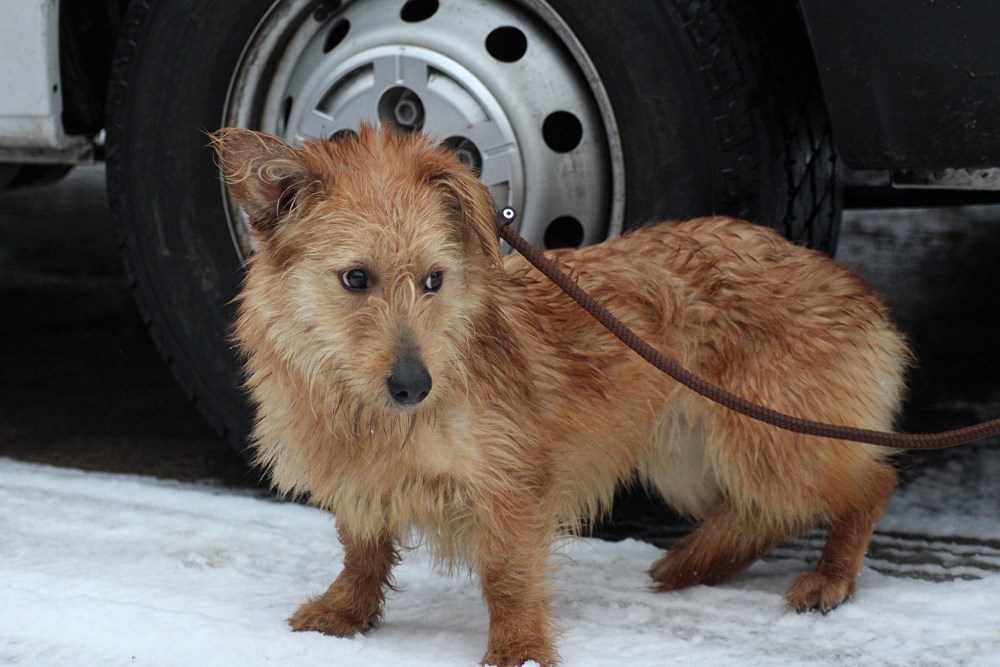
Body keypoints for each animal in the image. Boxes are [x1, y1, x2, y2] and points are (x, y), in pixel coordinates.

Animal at [210, 125, 910, 667]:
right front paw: (346, 613)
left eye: (434, 279)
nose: (414, 385)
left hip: (767, 438)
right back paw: (695, 563)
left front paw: (518, 648)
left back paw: (829, 577)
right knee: (763, 514)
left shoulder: (512, 478)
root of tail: (851, 283)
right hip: (684, 450)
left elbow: (507, 573)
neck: (371, 410)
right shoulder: (361, 477)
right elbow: (362, 548)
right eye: (356, 278)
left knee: (868, 483)